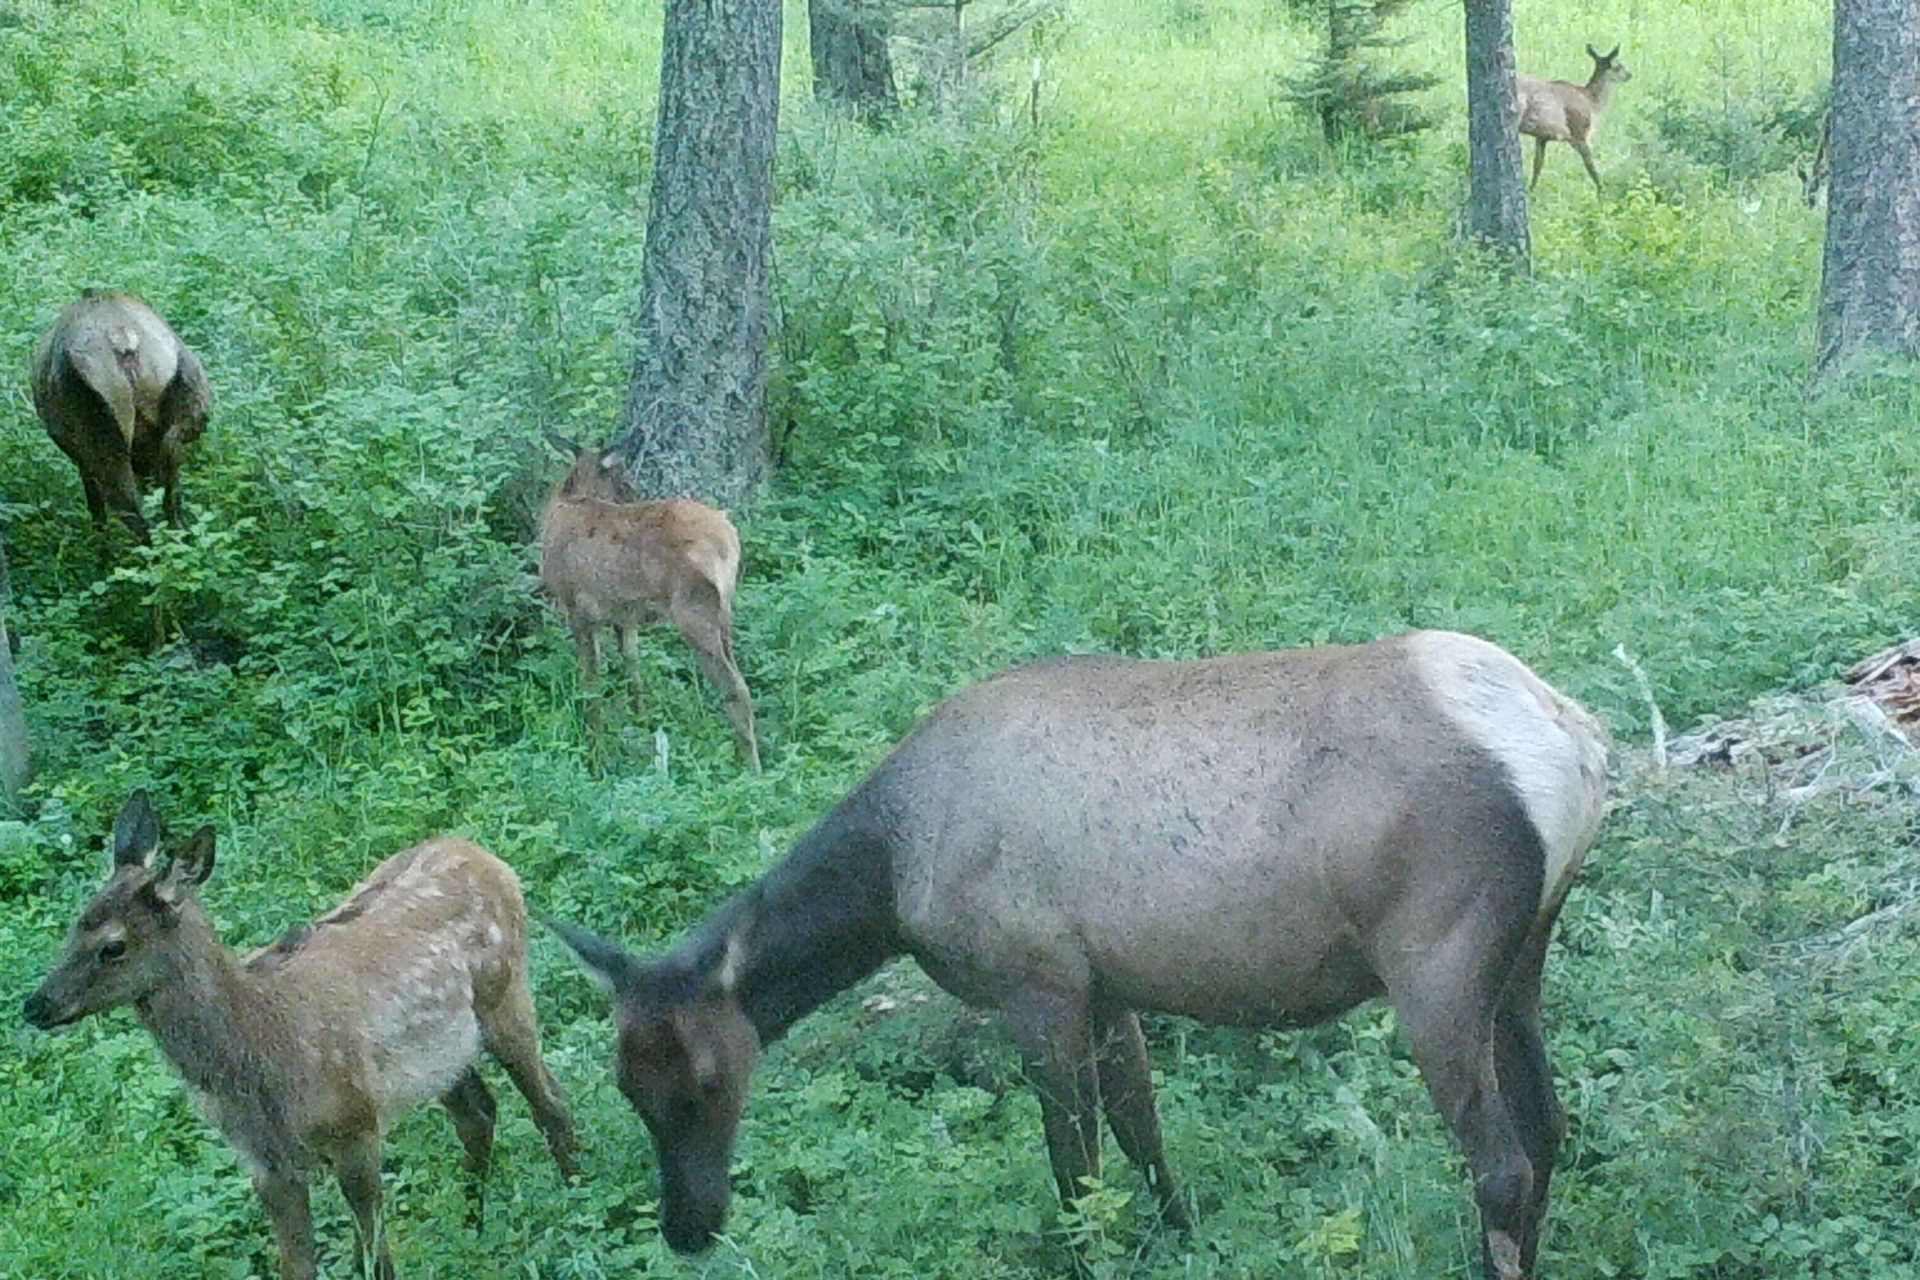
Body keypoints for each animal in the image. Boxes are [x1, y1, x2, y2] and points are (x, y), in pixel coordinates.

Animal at [20, 790, 576, 1280]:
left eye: (112, 946)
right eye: (74, 926)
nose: (35, 1005)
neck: (259, 1048)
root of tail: (485, 856)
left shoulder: (354, 1127)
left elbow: (377, 1258)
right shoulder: (266, 1164)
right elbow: (300, 1266)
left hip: (503, 993)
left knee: (550, 1100)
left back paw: (575, 1193)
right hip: (440, 1055)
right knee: (478, 1113)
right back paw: (471, 1227)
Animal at [33, 289, 214, 541]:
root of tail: (123, 339)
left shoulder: (78, 455)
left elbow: (96, 506)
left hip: (101, 433)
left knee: (132, 511)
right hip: (190, 397)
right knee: (170, 481)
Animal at [537, 435, 760, 771]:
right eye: (623, 479)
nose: (631, 493)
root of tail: (729, 537)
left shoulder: (578, 609)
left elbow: (591, 683)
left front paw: (595, 756)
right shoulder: (624, 617)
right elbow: (633, 672)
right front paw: (642, 727)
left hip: (695, 611)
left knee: (736, 687)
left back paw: (752, 768)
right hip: (725, 612)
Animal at [1512, 44, 1635, 192]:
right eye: (1619, 65)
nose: (1630, 75)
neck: (1592, 103)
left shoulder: (1542, 136)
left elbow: (1537, 166)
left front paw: (1531, 191)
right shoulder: (1579, 132)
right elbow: (1592, 168)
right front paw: (1602, 193)